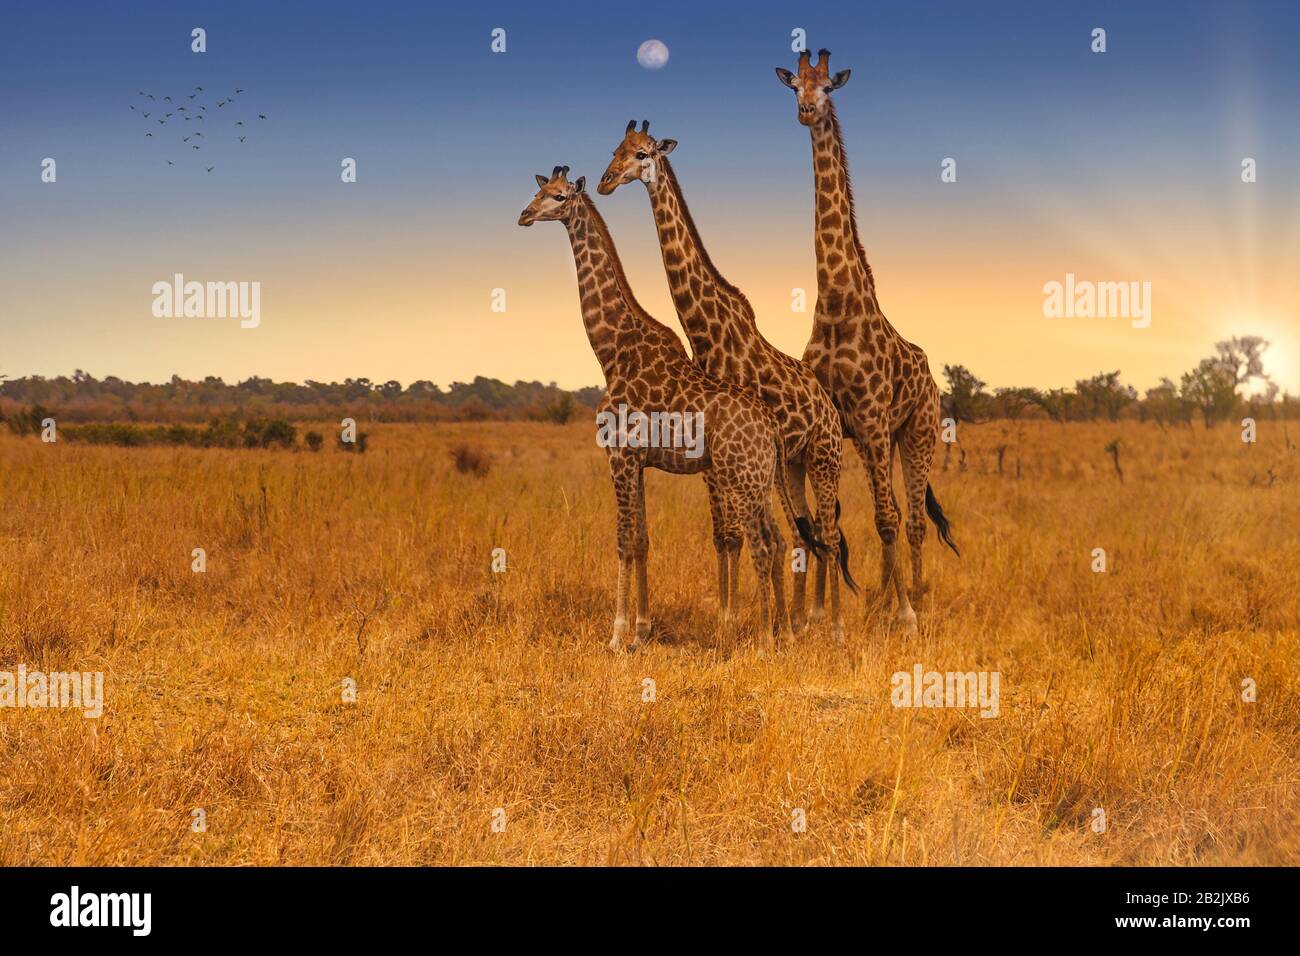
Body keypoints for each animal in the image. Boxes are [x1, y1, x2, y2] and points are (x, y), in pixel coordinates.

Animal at [517, 167, 800, 655]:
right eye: (538, 191)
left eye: (557, 197)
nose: (524, 215)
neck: (611, 350)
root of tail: (771, 426)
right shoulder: (640, 462)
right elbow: (643, 540)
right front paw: (642, 631)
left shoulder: (619, 456)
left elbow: (622, 541)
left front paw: (616, 636)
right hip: (760, 479)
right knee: (779, 541)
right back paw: (780, 632)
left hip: (741, 479)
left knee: (764, 545)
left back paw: (765, 641)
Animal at [595, 121, 852, 642]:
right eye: (615, 149)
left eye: (642, 153)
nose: (606, 181)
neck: (708, 332)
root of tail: (829, 407)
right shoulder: (712, 457)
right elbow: (726, 537)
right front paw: (736, 619)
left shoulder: (722, 455)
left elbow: (736, 537)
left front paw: (736, 622)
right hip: (793, 465)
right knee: (807, 532)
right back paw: (801, 619)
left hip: (824, 457)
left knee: (829, 534)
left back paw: (830, 625)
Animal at [774, 48, 961, 632]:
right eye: (795, 87)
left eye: (829, 86)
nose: (807, 111)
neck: (836, 303)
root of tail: (930, 377)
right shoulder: (836, 423)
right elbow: (825, 520)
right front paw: (817, 614)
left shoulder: (875, 420)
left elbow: (884, 518)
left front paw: (905, 615)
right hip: (881, 438)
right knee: (897, 512)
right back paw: (881, 597)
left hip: (916, 431)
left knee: (912, 517)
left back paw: (914, 597)